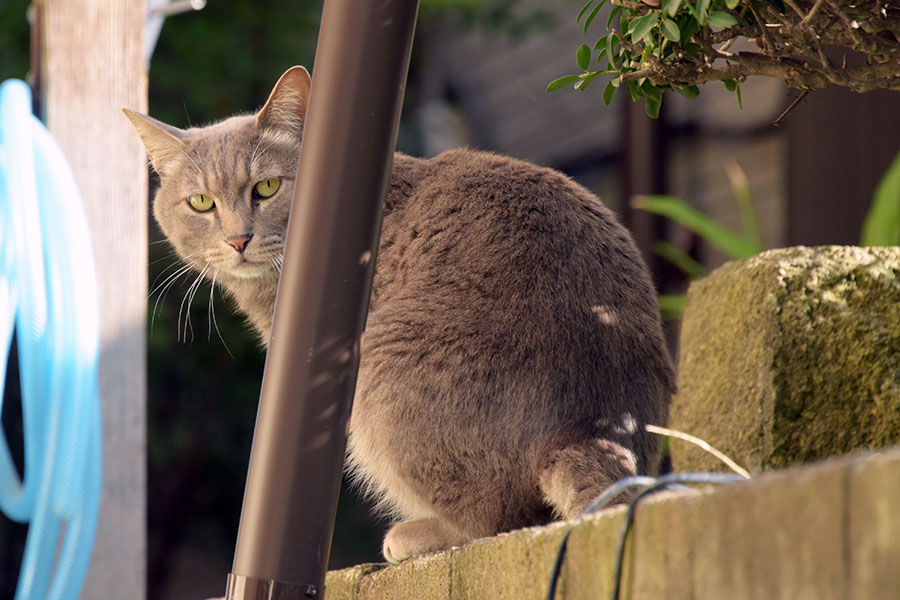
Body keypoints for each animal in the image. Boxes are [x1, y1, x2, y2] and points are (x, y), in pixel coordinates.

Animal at [125, 68, 676, 564]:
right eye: (201, 202)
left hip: (377, 376)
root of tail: (589, 428)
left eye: (266, 187)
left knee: (498, 518)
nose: (237, 239)